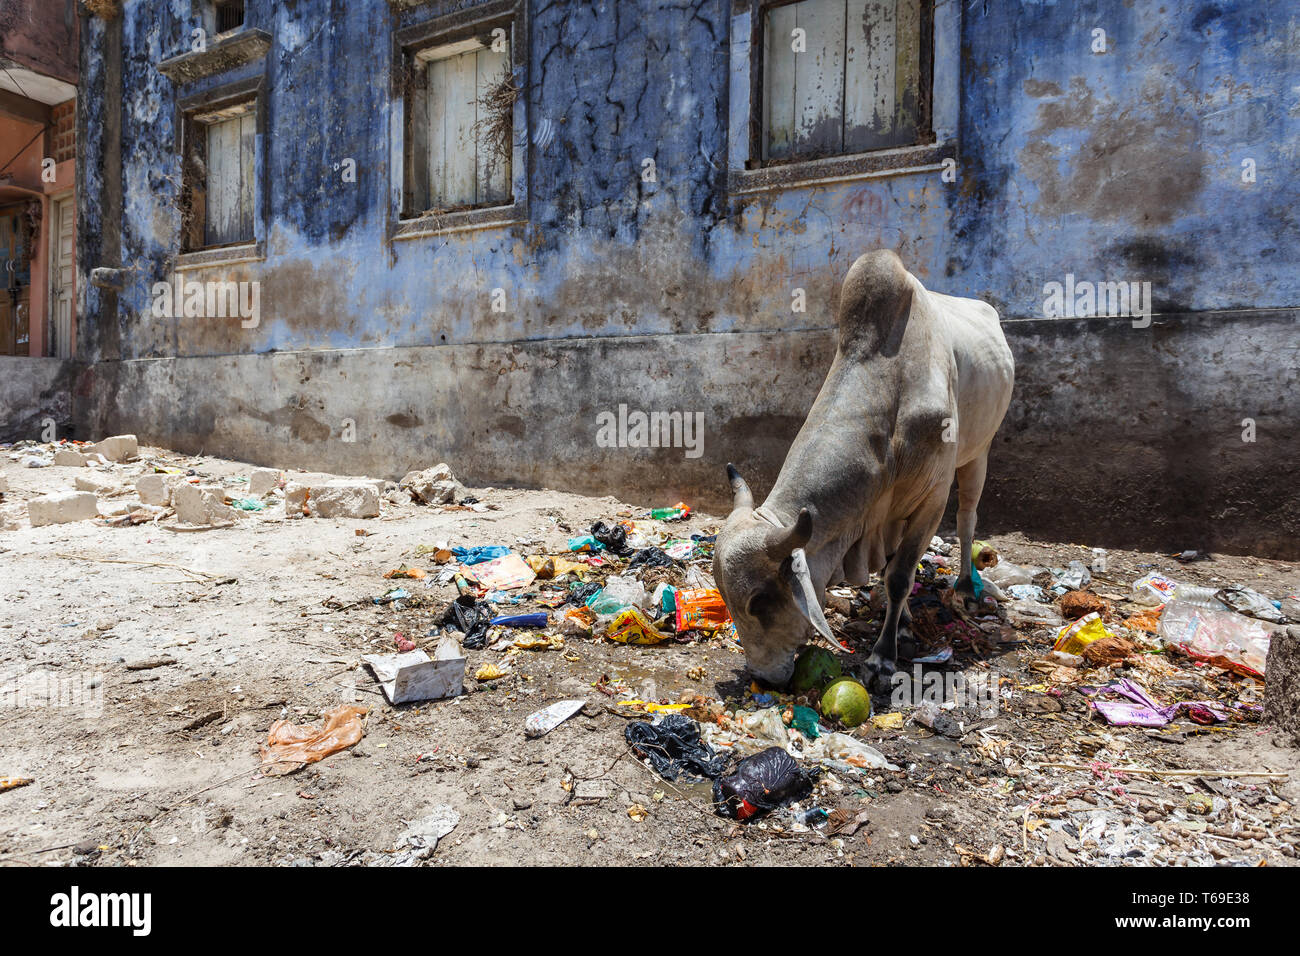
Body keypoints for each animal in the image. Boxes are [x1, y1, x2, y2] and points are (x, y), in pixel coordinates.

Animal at [712, 248, 1013, 686]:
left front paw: (882, 658)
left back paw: (964, 586)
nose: (762, 677)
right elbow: (891, 569)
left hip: (979, 452)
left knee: (966, 521)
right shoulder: (882, 512)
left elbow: (900, 576)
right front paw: (901, 628)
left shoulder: (932, 498)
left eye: (759, 601)